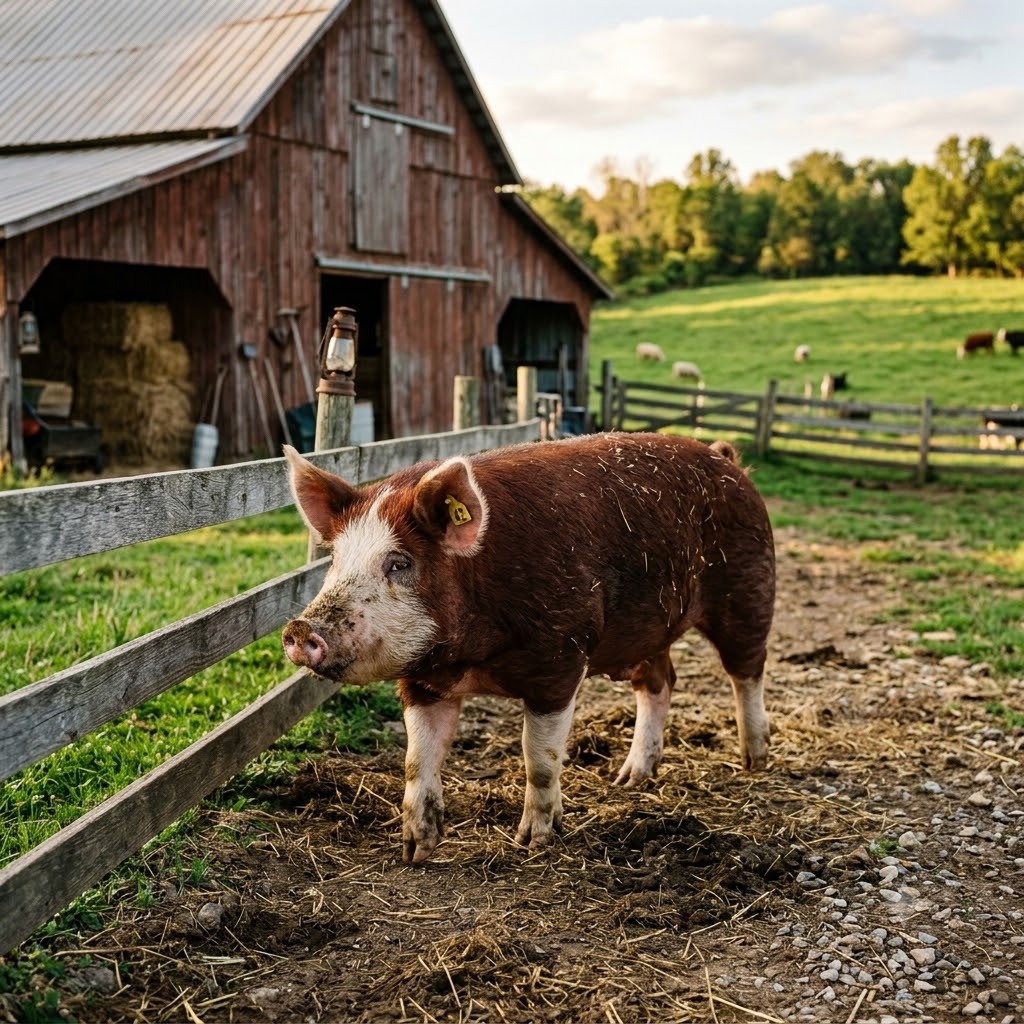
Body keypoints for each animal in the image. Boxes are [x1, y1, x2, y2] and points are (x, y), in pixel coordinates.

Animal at [281, 433, 775, 863]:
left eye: (399, 563)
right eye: (336, 559)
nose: (300, 628)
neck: (472, 657)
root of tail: (726, 459)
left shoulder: (559, 662)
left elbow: (538, 756)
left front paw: (533, 841)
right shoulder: (422, 680)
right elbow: (417, 760)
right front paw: (415, 851)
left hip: (748, 590)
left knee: (747, 672)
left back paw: (754, 761)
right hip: (649, 629)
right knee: (658, 683)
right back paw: (629, 779)